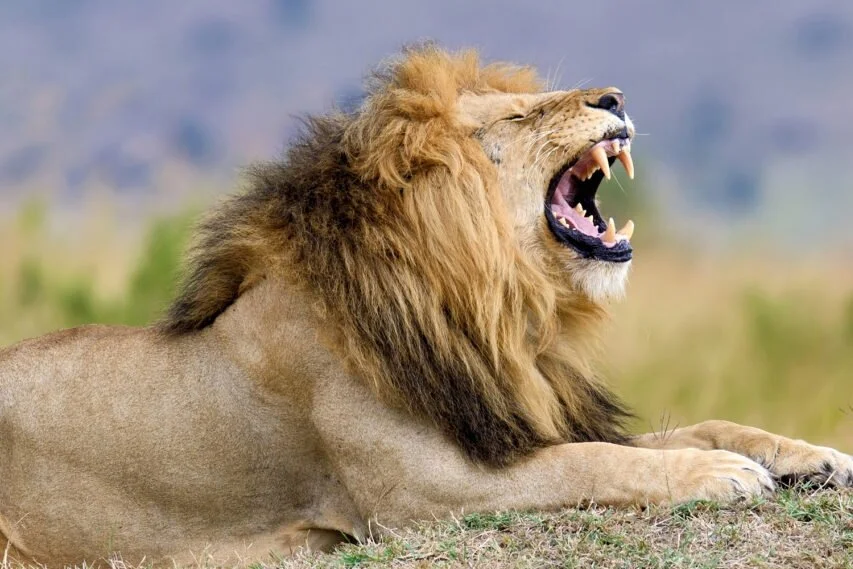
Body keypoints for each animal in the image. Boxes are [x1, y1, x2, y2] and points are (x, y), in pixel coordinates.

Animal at [0, 45, 850, 567]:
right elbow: (597, 459)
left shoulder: (507, 419)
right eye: (517, 116)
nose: (613, 94)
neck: (494, 307)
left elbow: (694, 425)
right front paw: (720, 474)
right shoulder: (426, 491)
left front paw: (809, 455)